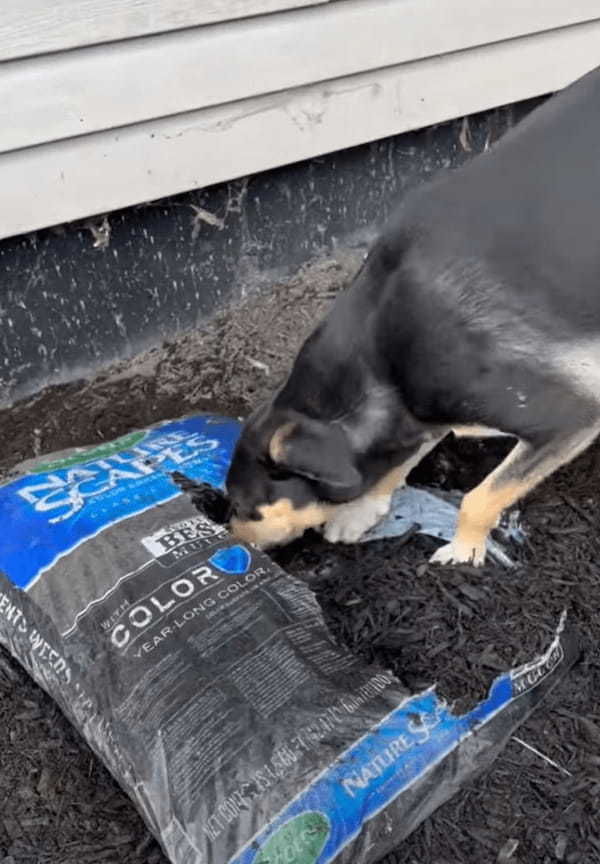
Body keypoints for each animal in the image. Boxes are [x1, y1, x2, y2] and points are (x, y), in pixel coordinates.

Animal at [226, 67, 600, 568]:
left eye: (242, 505)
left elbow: (479, 498)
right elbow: (403, 455)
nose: (233, 545)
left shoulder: (568, 417)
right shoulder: (416, 411)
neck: (379, 369)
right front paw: (361, 511)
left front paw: (463, 551)